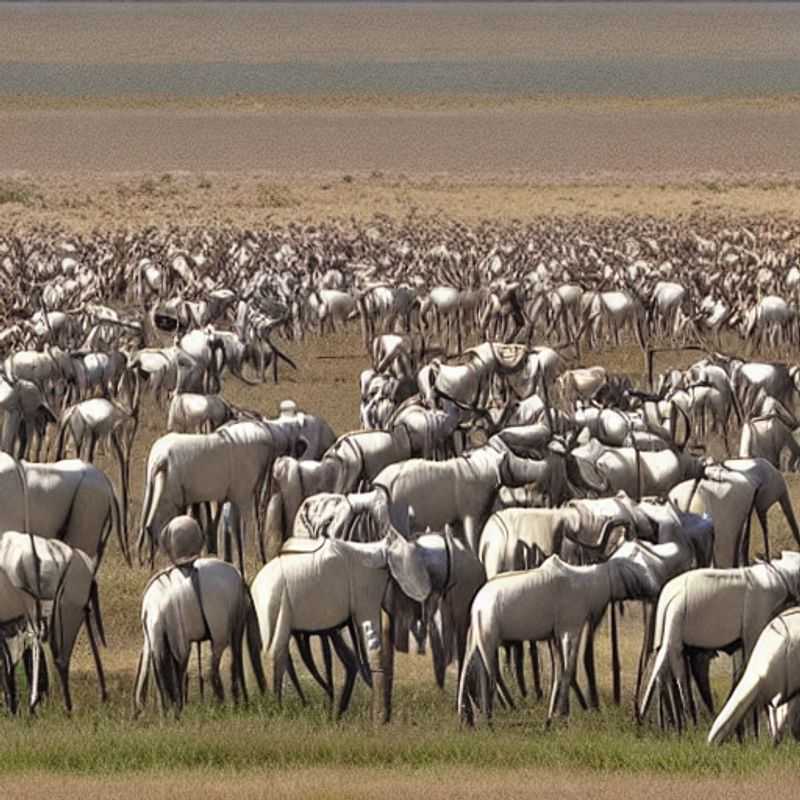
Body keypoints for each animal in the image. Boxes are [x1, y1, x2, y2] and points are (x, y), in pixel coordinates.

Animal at [132, 557, 252, 717]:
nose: (166, 714)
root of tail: (237, 575)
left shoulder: (179, 641)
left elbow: (178, 674)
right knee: (224, 665)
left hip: (225, 631)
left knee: (223, 666)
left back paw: (233, 703)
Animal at [249, 530, 432, 722]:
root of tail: (254, 585)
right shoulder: (365, 591)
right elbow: (370, 640)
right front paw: (379, 719)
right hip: (275, 602)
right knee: (275, 651)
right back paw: (277, 710)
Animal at [638, 552, 800, 731]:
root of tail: (667, 595)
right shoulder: (755, 621)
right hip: (675, 624)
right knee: (672, 667)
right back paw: (680, 724)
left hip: (663, 631)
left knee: (663, 667)